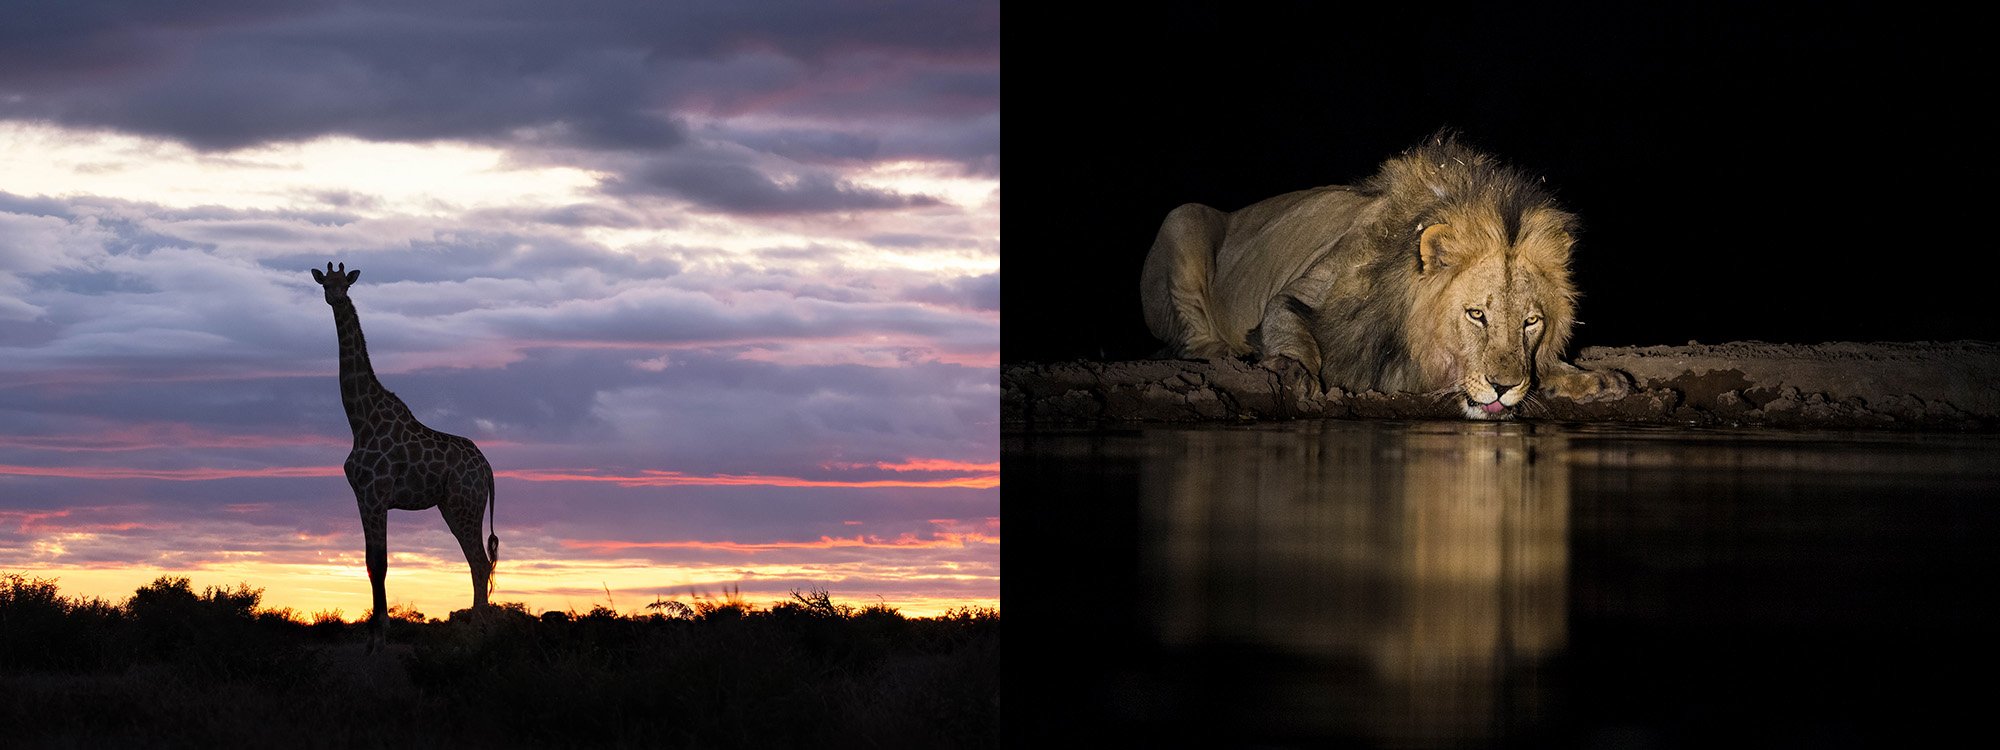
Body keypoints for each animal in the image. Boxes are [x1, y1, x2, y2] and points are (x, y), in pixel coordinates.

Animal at [312, 262, 498, 651]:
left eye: (345, 285)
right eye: (325, 284)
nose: (335, 297)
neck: (360, 420)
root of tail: (487, 469)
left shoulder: (376, 494)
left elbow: (379, 562)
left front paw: (380, 634)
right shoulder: (362, 496)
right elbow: (370, 562)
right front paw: (372, 632)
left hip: (465, 504)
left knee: (479, 561)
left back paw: (479, 630)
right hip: (452, 506)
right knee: (478, 562)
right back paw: (482, 628)